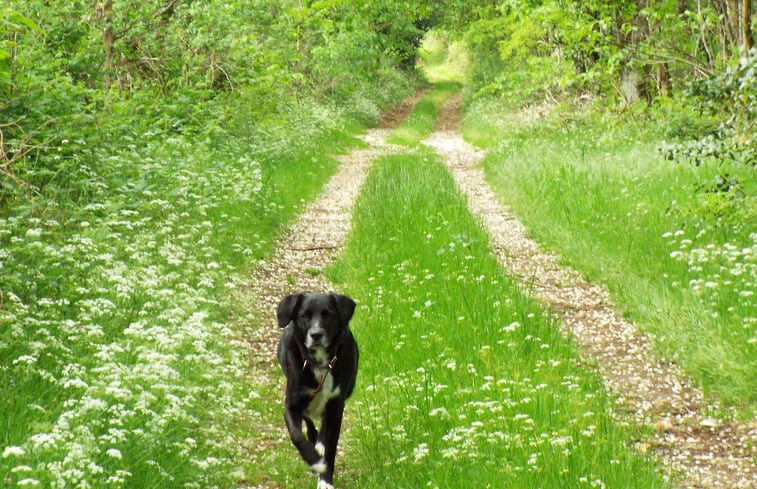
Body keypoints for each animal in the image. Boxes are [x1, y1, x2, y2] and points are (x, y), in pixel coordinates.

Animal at [276, 292, 358, 486]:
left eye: (328, 314)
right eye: (304, 316)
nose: (316, 334)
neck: (320, 365)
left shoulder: (336, 405)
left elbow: (331, 447)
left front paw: (326, 481)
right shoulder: (292, 404)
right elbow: (297, 436)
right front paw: (314, 462)